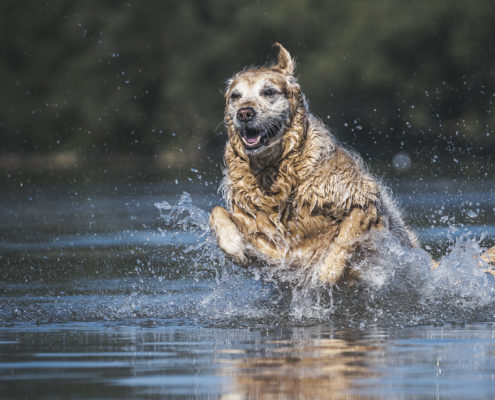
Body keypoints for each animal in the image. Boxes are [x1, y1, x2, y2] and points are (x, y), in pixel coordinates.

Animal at [210, 42, 495, 282]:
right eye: (235, 96)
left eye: (268, 92)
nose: (244, 113)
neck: (277, 172)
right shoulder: (266, 236)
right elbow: (217, 212)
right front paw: (235, 247)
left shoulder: (362, 201)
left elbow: (344, 239)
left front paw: (324, 275)